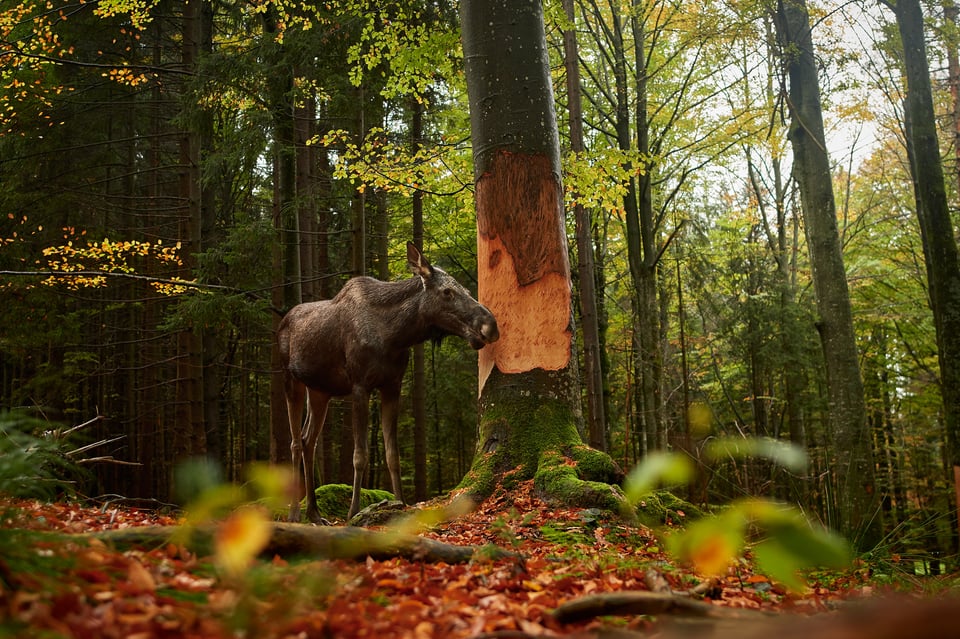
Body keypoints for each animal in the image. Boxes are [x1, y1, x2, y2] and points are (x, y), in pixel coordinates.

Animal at [278, 242, 498, 524]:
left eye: (467, 290)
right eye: (447, 292)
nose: (490, 326)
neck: (396, 335)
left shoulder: (393, 386)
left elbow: (393, 455)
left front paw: (400, 503)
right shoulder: (360, 386)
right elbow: (360, 455)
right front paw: (354, 511)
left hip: (319, 391)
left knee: (309, 441)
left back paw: (314, 513)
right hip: (290, 378)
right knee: (295, 442)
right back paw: (295, 513)